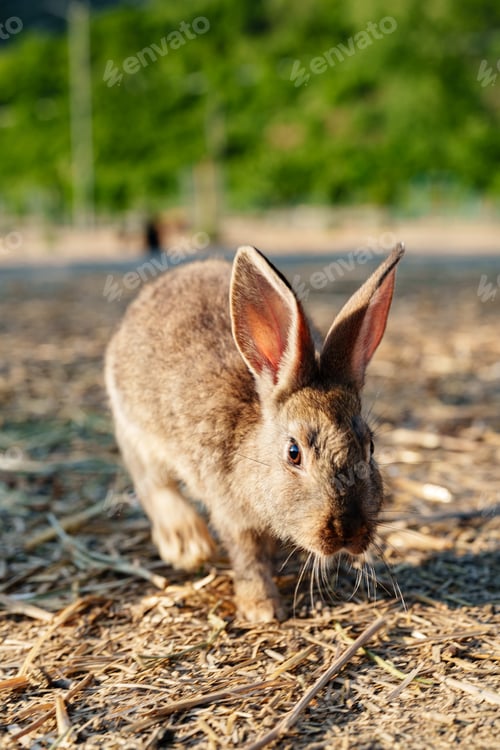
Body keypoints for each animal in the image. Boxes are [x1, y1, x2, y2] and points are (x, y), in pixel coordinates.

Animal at [105, 243, 404, 622]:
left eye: (371, 448)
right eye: (294, 453)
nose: (348, 530)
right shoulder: (231, 513)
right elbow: (249, 558)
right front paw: (262, 608)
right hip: (135, 429)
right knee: (153, 483)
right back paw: (189, 544)